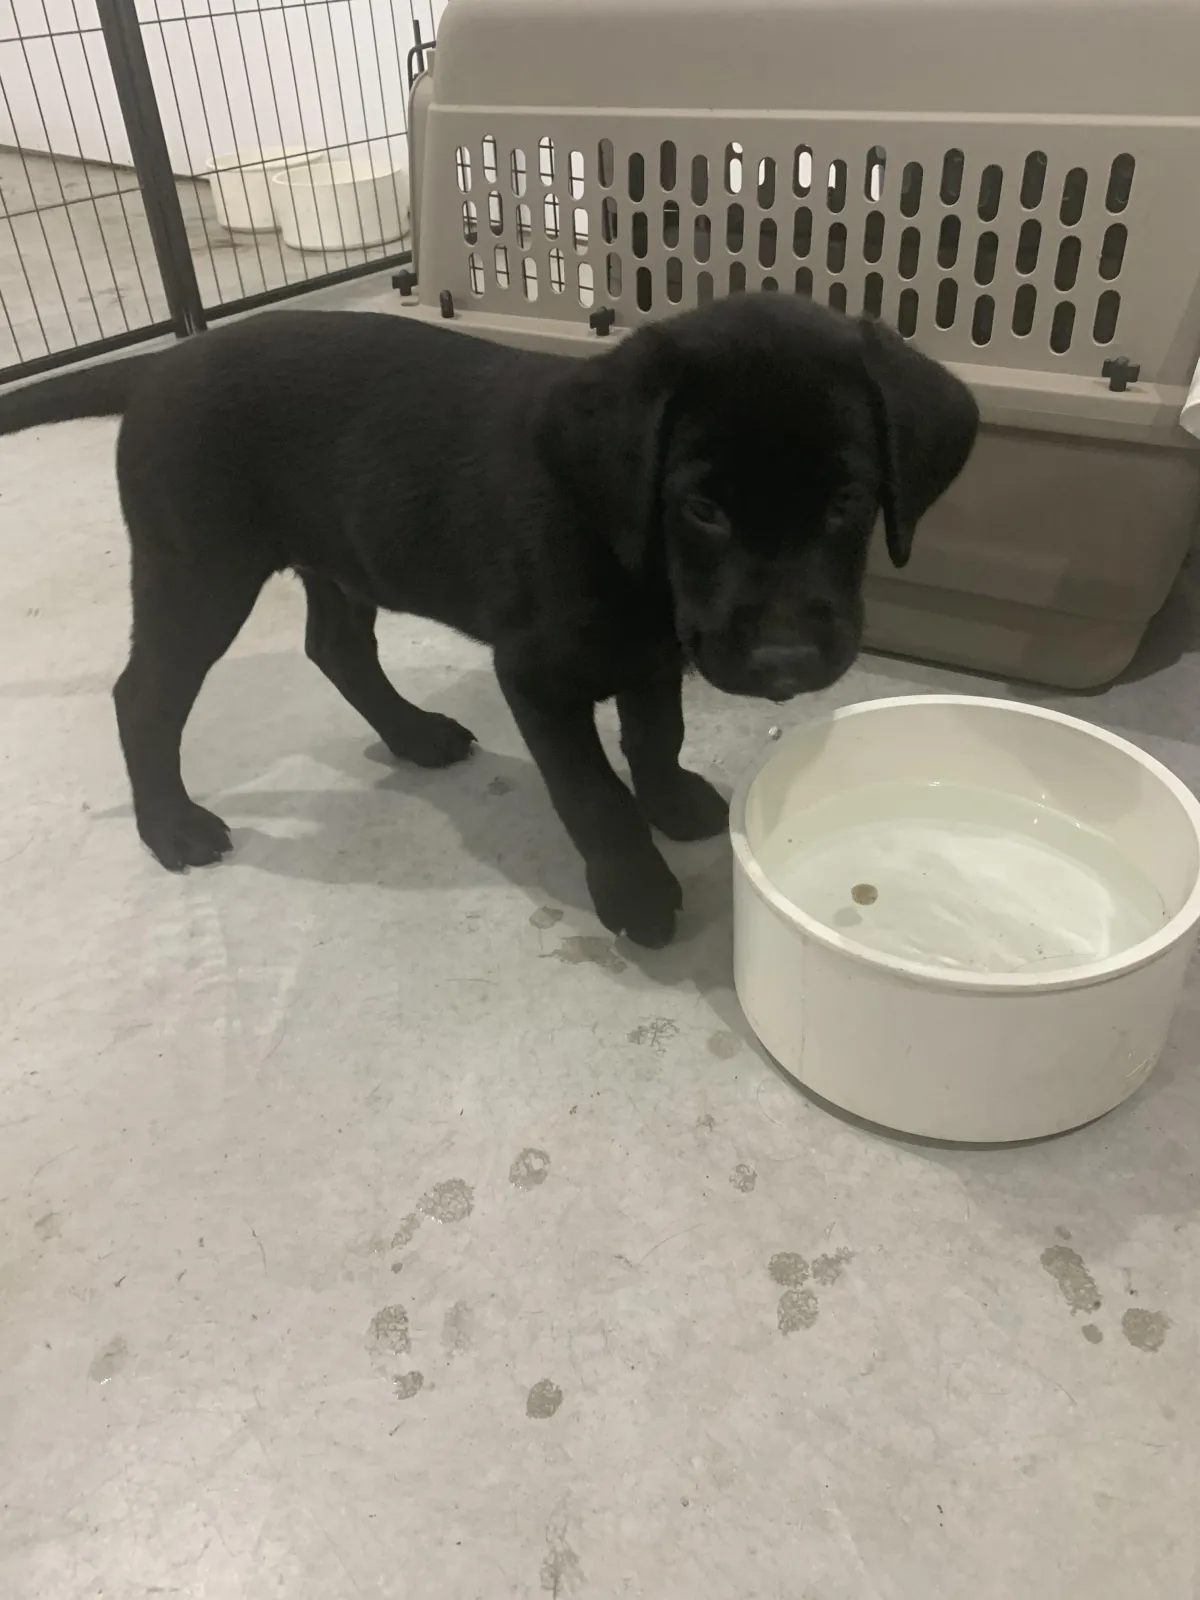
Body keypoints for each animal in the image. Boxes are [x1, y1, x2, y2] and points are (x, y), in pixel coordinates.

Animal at [0, 295, 977, 947]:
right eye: (702, 510)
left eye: (848, 500)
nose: (785, 661)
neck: (623, 540)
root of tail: (162, 362)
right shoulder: (536, 675)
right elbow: (593, 796)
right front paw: (635, 891)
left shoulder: (657, 651)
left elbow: (654, 737)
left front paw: (671, 802)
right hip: (198, 568)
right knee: (143, 695)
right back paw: (171, 826)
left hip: (343, 551)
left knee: (335, 645)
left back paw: (414, 735)